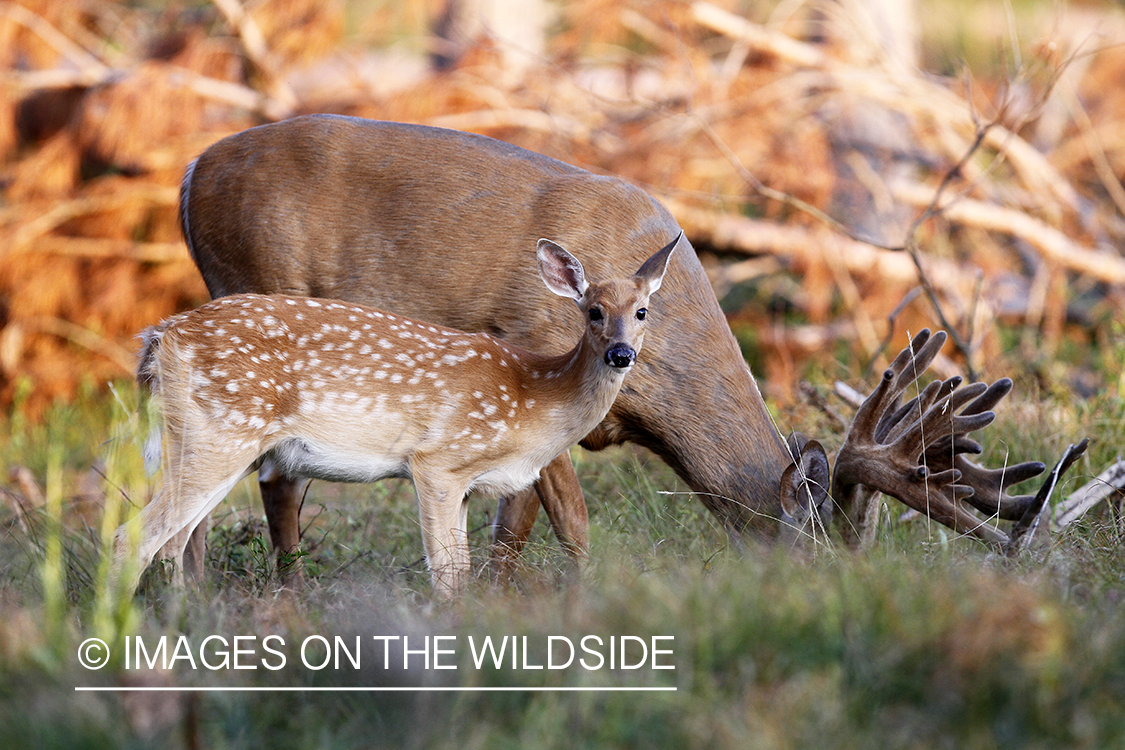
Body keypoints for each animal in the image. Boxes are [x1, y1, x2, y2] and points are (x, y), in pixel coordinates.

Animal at [114, 237, 675, 593]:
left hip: (204, 441)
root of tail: (160, 336)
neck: (533, 396)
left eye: (642, 312)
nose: (621, 354)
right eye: (593, 311)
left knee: (174, 541)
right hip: (222, 432)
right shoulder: (438, 462)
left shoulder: (466, 486)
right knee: (134, 538)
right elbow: (448, 577)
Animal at [175, 113, 1062, 575]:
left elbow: (518, 519)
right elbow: (561, 517)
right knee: (259, 472)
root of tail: (189, 173)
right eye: (816, 560)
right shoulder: (531, 355)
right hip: (261, 289)